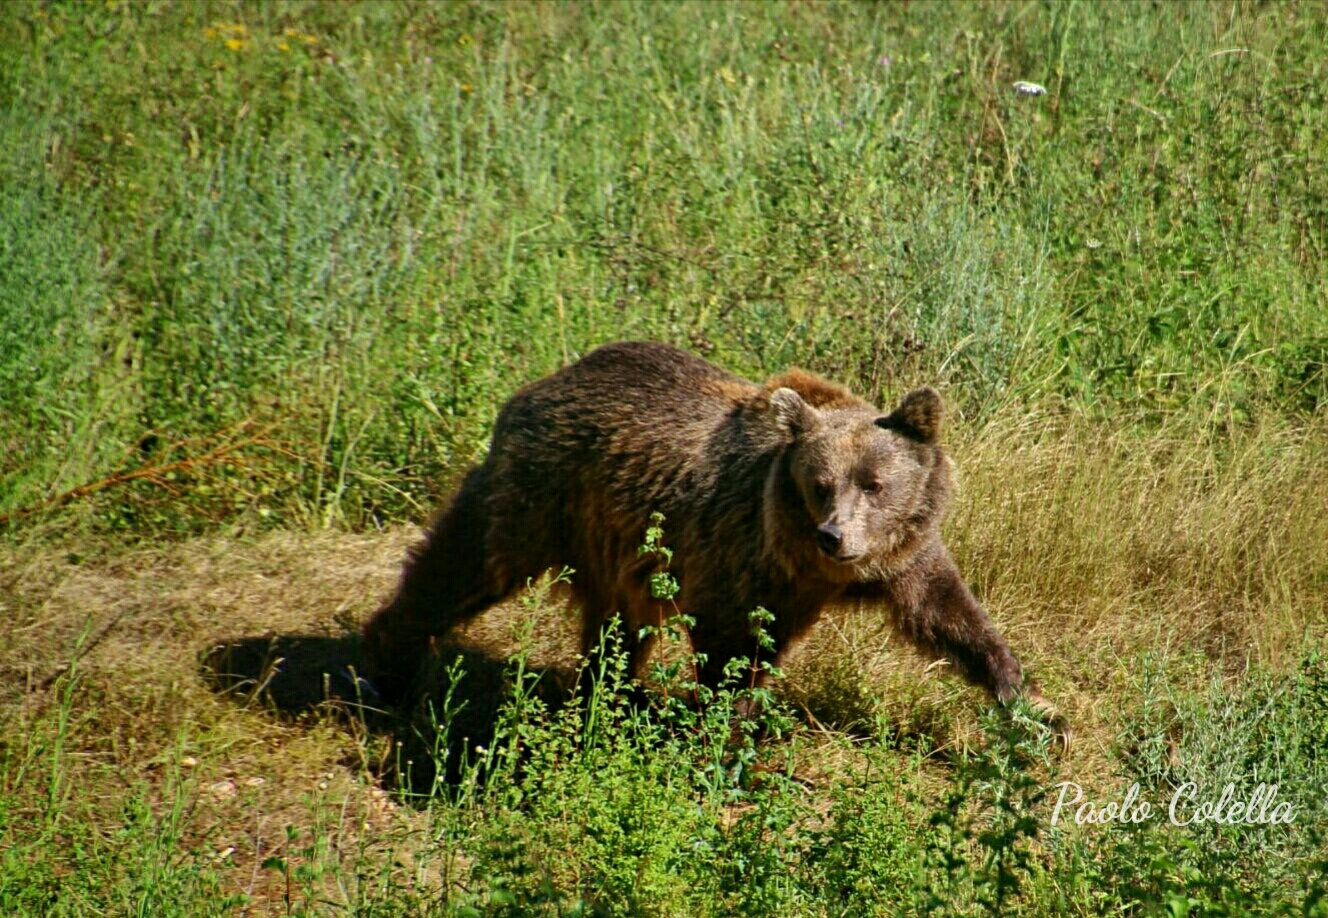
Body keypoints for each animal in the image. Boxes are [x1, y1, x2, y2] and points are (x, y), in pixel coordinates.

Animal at [362, 341, 1065, 741]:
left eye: (874, 482)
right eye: (819, 484)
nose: (834, 535)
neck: (819, 572)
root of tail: (547, 379)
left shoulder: (899, 557)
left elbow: (947, 614)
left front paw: (1031, 706)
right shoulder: (743, 552)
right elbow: (734, 647)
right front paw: (724, 738)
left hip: (611, 538)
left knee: (617, 625)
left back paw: (609, 695)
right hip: (542, 491)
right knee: (470, 559)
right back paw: (388, 662)